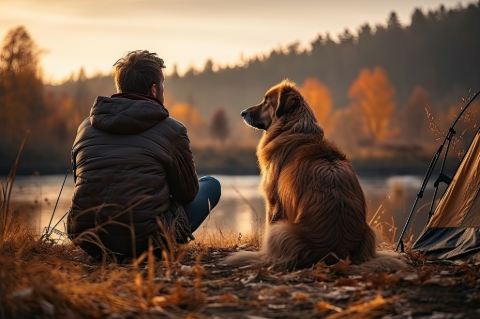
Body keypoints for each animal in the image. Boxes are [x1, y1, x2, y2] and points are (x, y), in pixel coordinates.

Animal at [226, 80, 404, 272]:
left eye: (266, 101)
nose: (242, 113)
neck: (293, 129)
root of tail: (338, 254)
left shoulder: (273, 201)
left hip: (282, 230)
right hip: (370, 232)